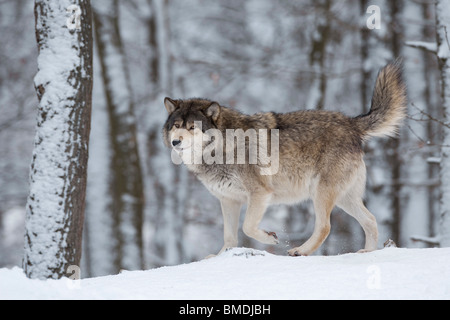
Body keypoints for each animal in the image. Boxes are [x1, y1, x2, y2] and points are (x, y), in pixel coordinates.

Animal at [163, 61, 408, 258]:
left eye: (192, 127)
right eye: (177, 126)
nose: (175, 142)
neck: (222, 149)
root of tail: (351, 123)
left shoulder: (260, 194)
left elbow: (248, 227)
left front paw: (270, 238)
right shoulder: (228, 200)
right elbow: (230, 237)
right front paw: (220, 256)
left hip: (321, 193)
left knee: (325, 227)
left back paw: (301, 250)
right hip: (344, 198)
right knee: (370, 220)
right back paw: (367, 252)